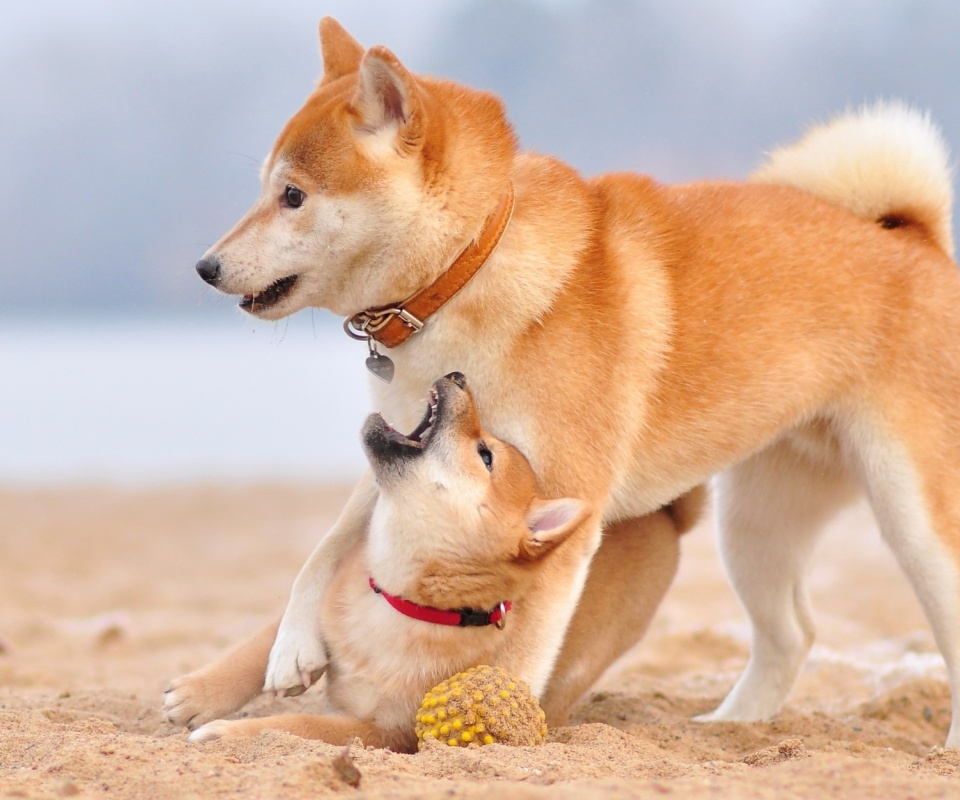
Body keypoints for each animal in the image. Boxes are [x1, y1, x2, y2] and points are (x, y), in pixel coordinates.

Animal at [186, 376, 592, 752]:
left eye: (485, 454)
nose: (458, 376)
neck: (394, 599)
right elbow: (264, 643)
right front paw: (195, 695)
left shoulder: (382, 731)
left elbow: (297, 725)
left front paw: (225, 733)